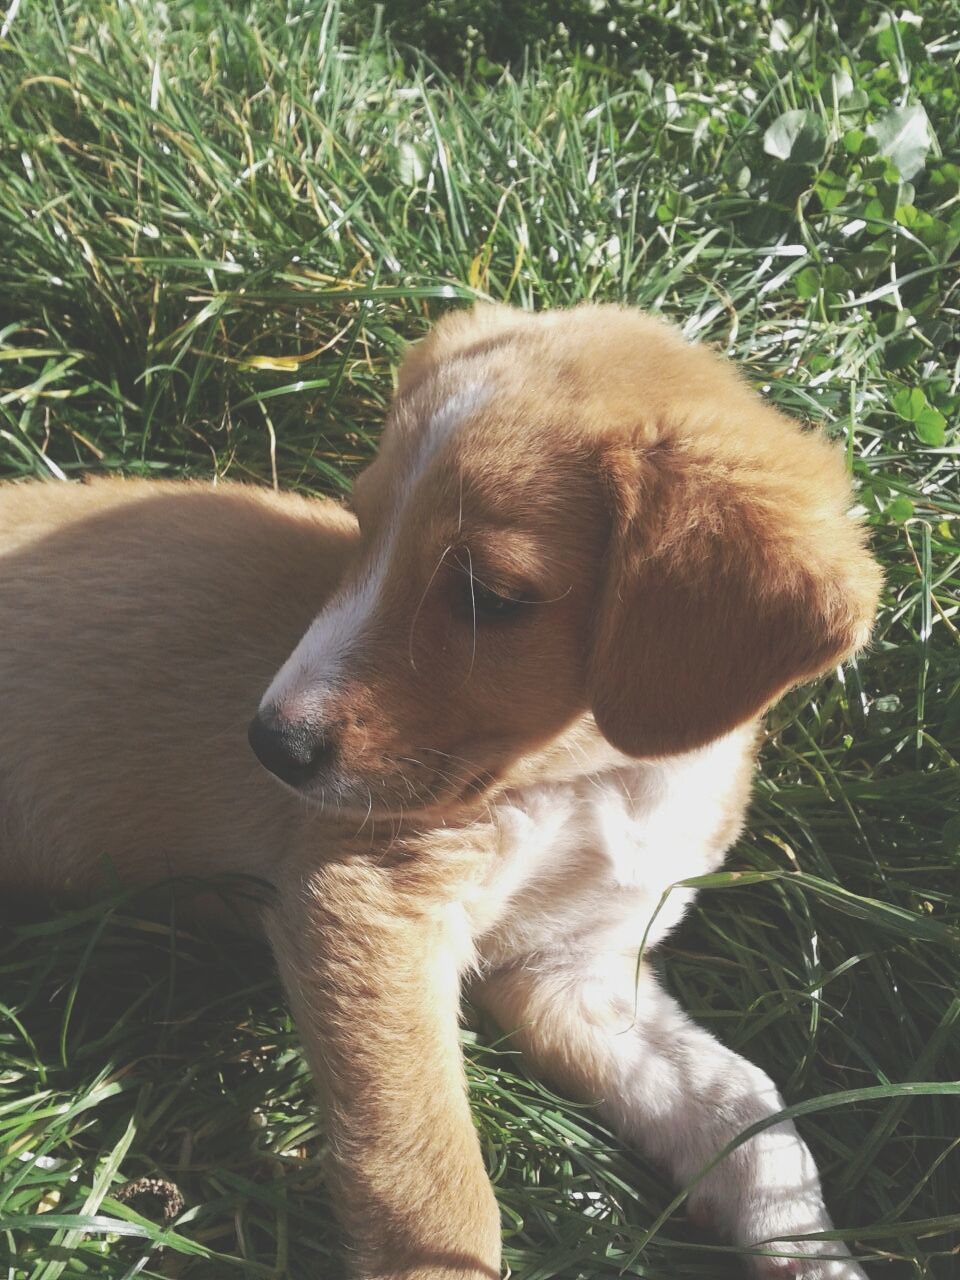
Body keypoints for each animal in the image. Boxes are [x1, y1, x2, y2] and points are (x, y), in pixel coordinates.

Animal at [0, 302, 885, 1280]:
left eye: (486, 595)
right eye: (363, 529)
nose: (268, 744)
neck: (607, 780)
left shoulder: (569, 975)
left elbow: (752, 1119)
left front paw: (815, 1256)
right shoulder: (371, 899)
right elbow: (435, 1187)